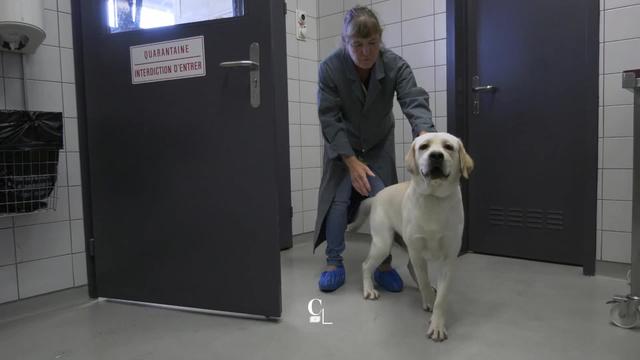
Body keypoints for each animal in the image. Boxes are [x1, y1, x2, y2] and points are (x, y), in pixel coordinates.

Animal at [350, 132, 470, 340]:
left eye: (448, 147)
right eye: (424, 146)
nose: (436, 156)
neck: (434, 198)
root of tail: (376, 196)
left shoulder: (449, 258)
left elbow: (441, 298)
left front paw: (437, 324)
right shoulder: (417, 252)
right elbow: (423, 280)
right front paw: (428, 300)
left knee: (409, 267)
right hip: (383, 243)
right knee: (366, 265)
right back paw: (369, 290)